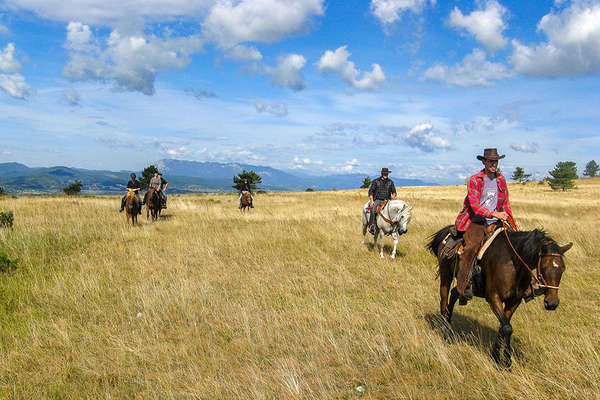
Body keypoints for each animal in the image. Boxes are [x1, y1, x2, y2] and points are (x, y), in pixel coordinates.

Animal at [426, 223, 572, 368]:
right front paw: (506, 362)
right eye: (545, 267)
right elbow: (507, 328)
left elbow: (503, 327)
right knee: (444, 303)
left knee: (454, 294)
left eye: (562, 268)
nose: (552, 303)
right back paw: (445, 333)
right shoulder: (493, 297)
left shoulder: (514, 301)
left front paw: (495, 356)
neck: (512, 262)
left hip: (464, 284)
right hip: (446, 275)